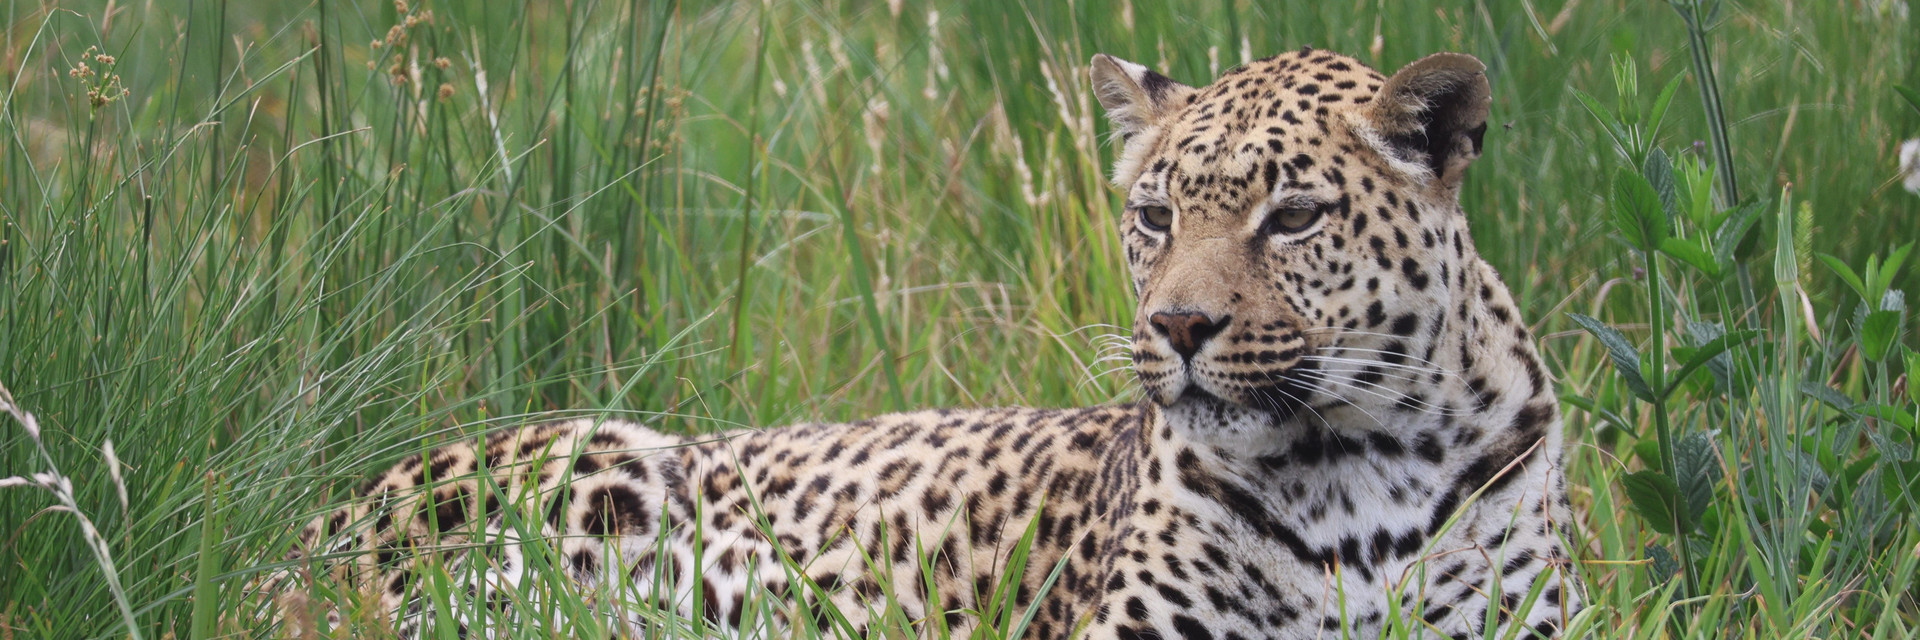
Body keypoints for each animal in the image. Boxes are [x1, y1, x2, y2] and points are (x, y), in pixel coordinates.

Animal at [283, 47, 1583, 640]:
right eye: (1154, 215)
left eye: (1296, 217)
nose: (1177, 324)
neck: (1352, 467)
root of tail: (306, 532)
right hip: (596, 466)